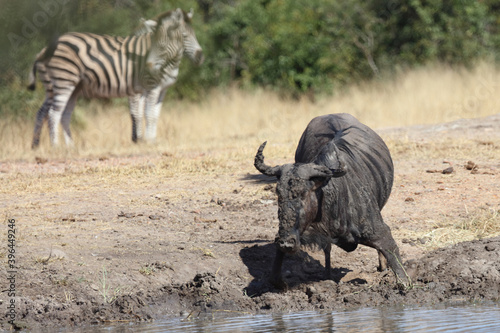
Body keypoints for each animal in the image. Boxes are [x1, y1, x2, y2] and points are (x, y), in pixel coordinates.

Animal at [29, 8, 203, 148]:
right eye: (184, 36)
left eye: (192, 34)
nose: (200, 57)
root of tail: (44, 50)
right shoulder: (148, 88)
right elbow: (144, 114)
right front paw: (145, 141)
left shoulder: (160, 90)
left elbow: (151, 114)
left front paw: (144, 139)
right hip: (63, 82)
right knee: (53, 113)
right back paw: (55, 146)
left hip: (64, 87)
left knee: (48, 113)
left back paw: (48, 146)